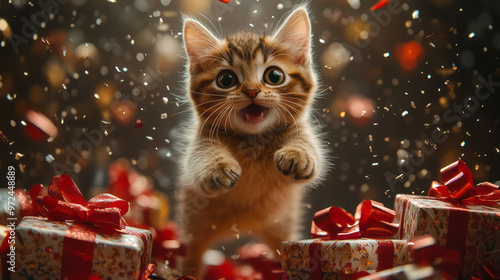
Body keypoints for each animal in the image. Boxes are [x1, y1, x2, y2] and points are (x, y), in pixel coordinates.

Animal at [178, 7, 326, 278]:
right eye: (226, 79)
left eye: (274, 76)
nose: (251, 91)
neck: (253, 139)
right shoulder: (201, 140)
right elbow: (202, 155)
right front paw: (218, 168)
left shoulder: (301, 130)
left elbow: (307, 145)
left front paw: (298, 155)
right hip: (193, 226)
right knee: (191, 253)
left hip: (282, 227)